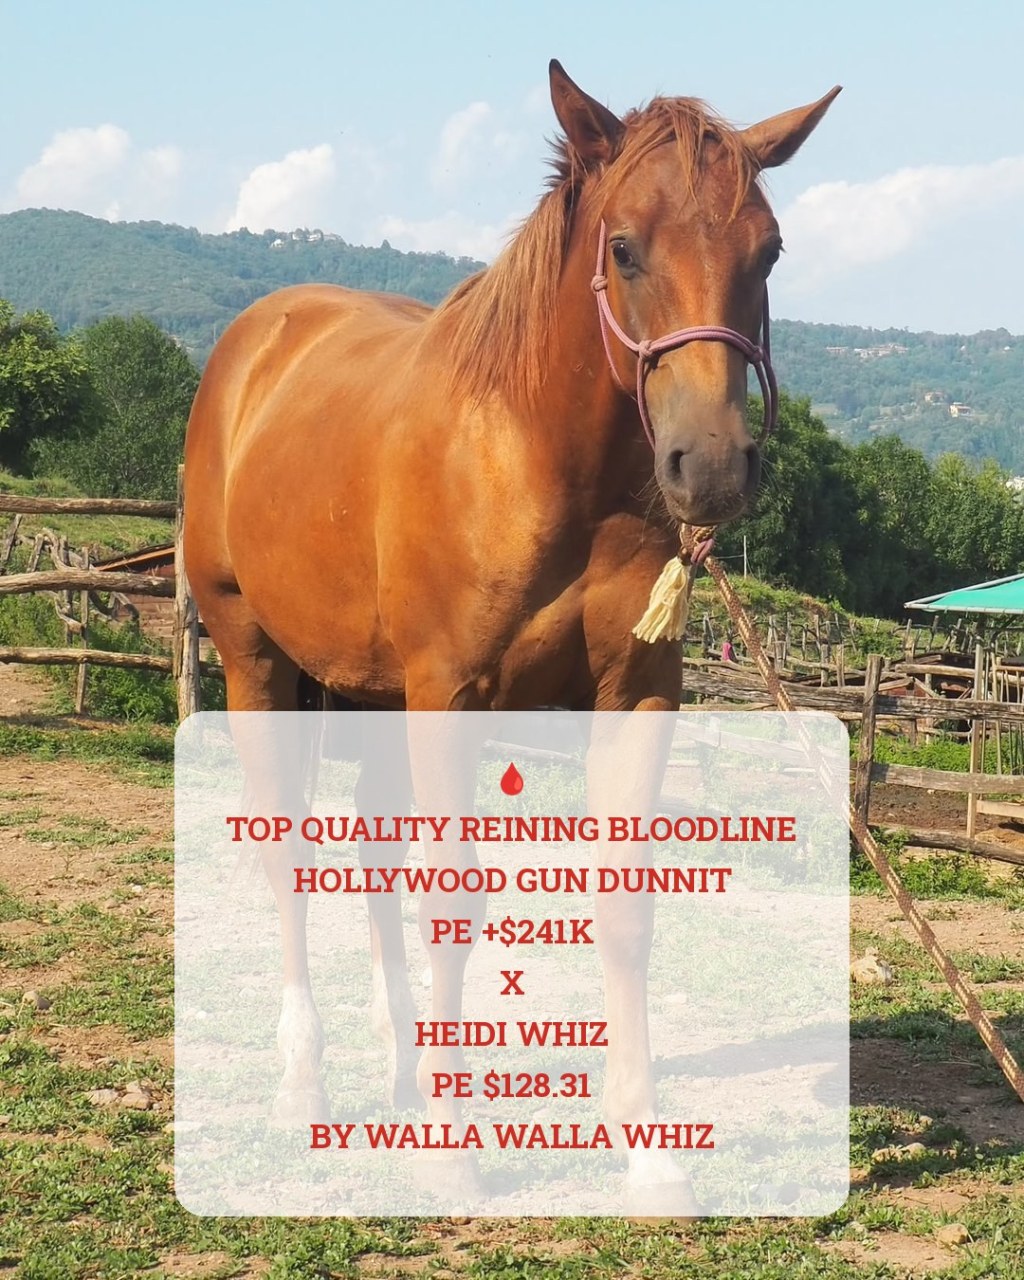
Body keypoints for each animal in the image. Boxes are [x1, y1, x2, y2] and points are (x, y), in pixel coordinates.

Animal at [182, 60, 839, 1212]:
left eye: (767, 251)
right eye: (623, 248)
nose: (710, 466)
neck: (540, 458)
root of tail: (255, 342)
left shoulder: (635, 694)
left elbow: (623, 908)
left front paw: (650, 1153)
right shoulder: (451, 692)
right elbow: (452, 890)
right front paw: (453, 1152)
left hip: (370, 695)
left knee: (373, 847)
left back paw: (402, 1063)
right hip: (254, 659)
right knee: (292, 849)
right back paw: (304, 1079)